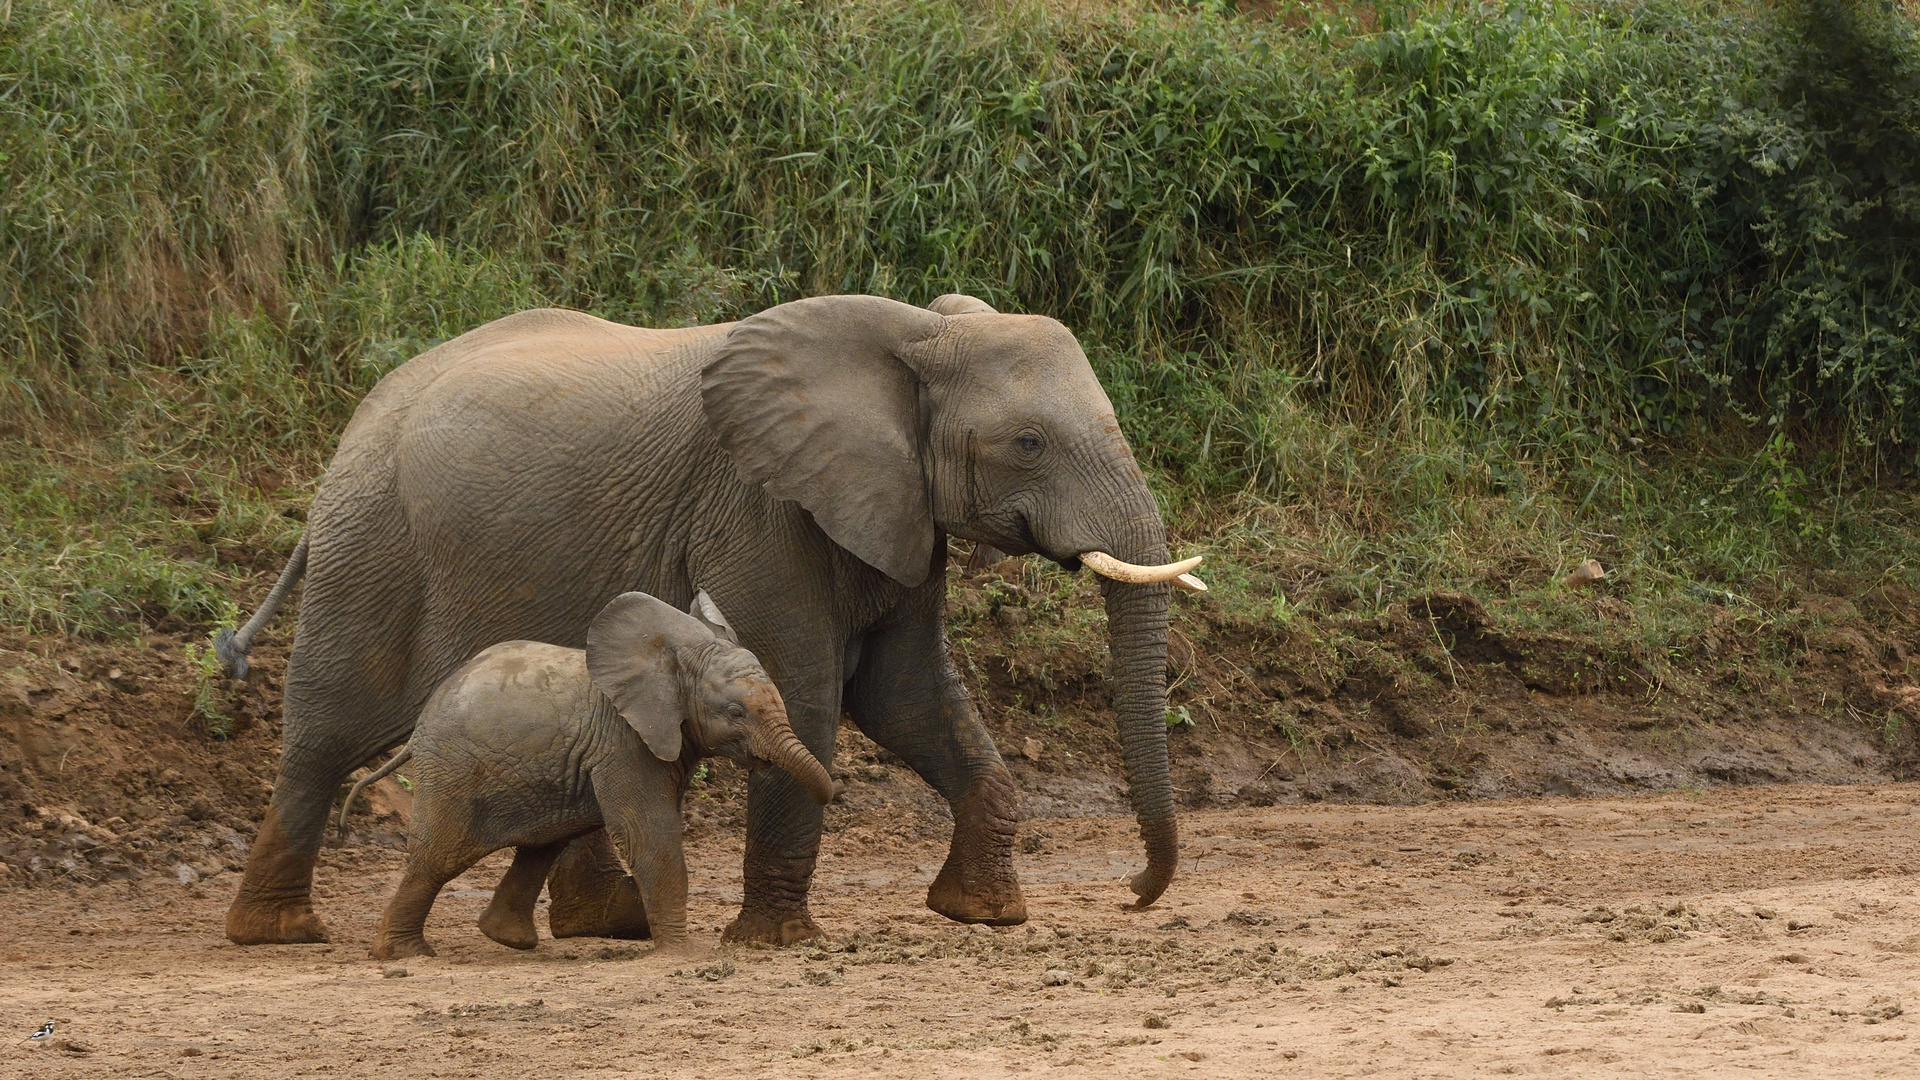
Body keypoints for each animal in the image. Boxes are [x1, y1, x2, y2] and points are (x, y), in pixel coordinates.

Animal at [349, 588, 837, 957]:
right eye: (736, 713)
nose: (828, 794)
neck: (675, 655)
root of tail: (418, 729)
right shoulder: (625, 740)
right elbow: (649, 832)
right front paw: (682, 954)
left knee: (540, 844)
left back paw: (507, 940)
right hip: (453, 770)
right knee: (438, 857)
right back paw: (404, 954)